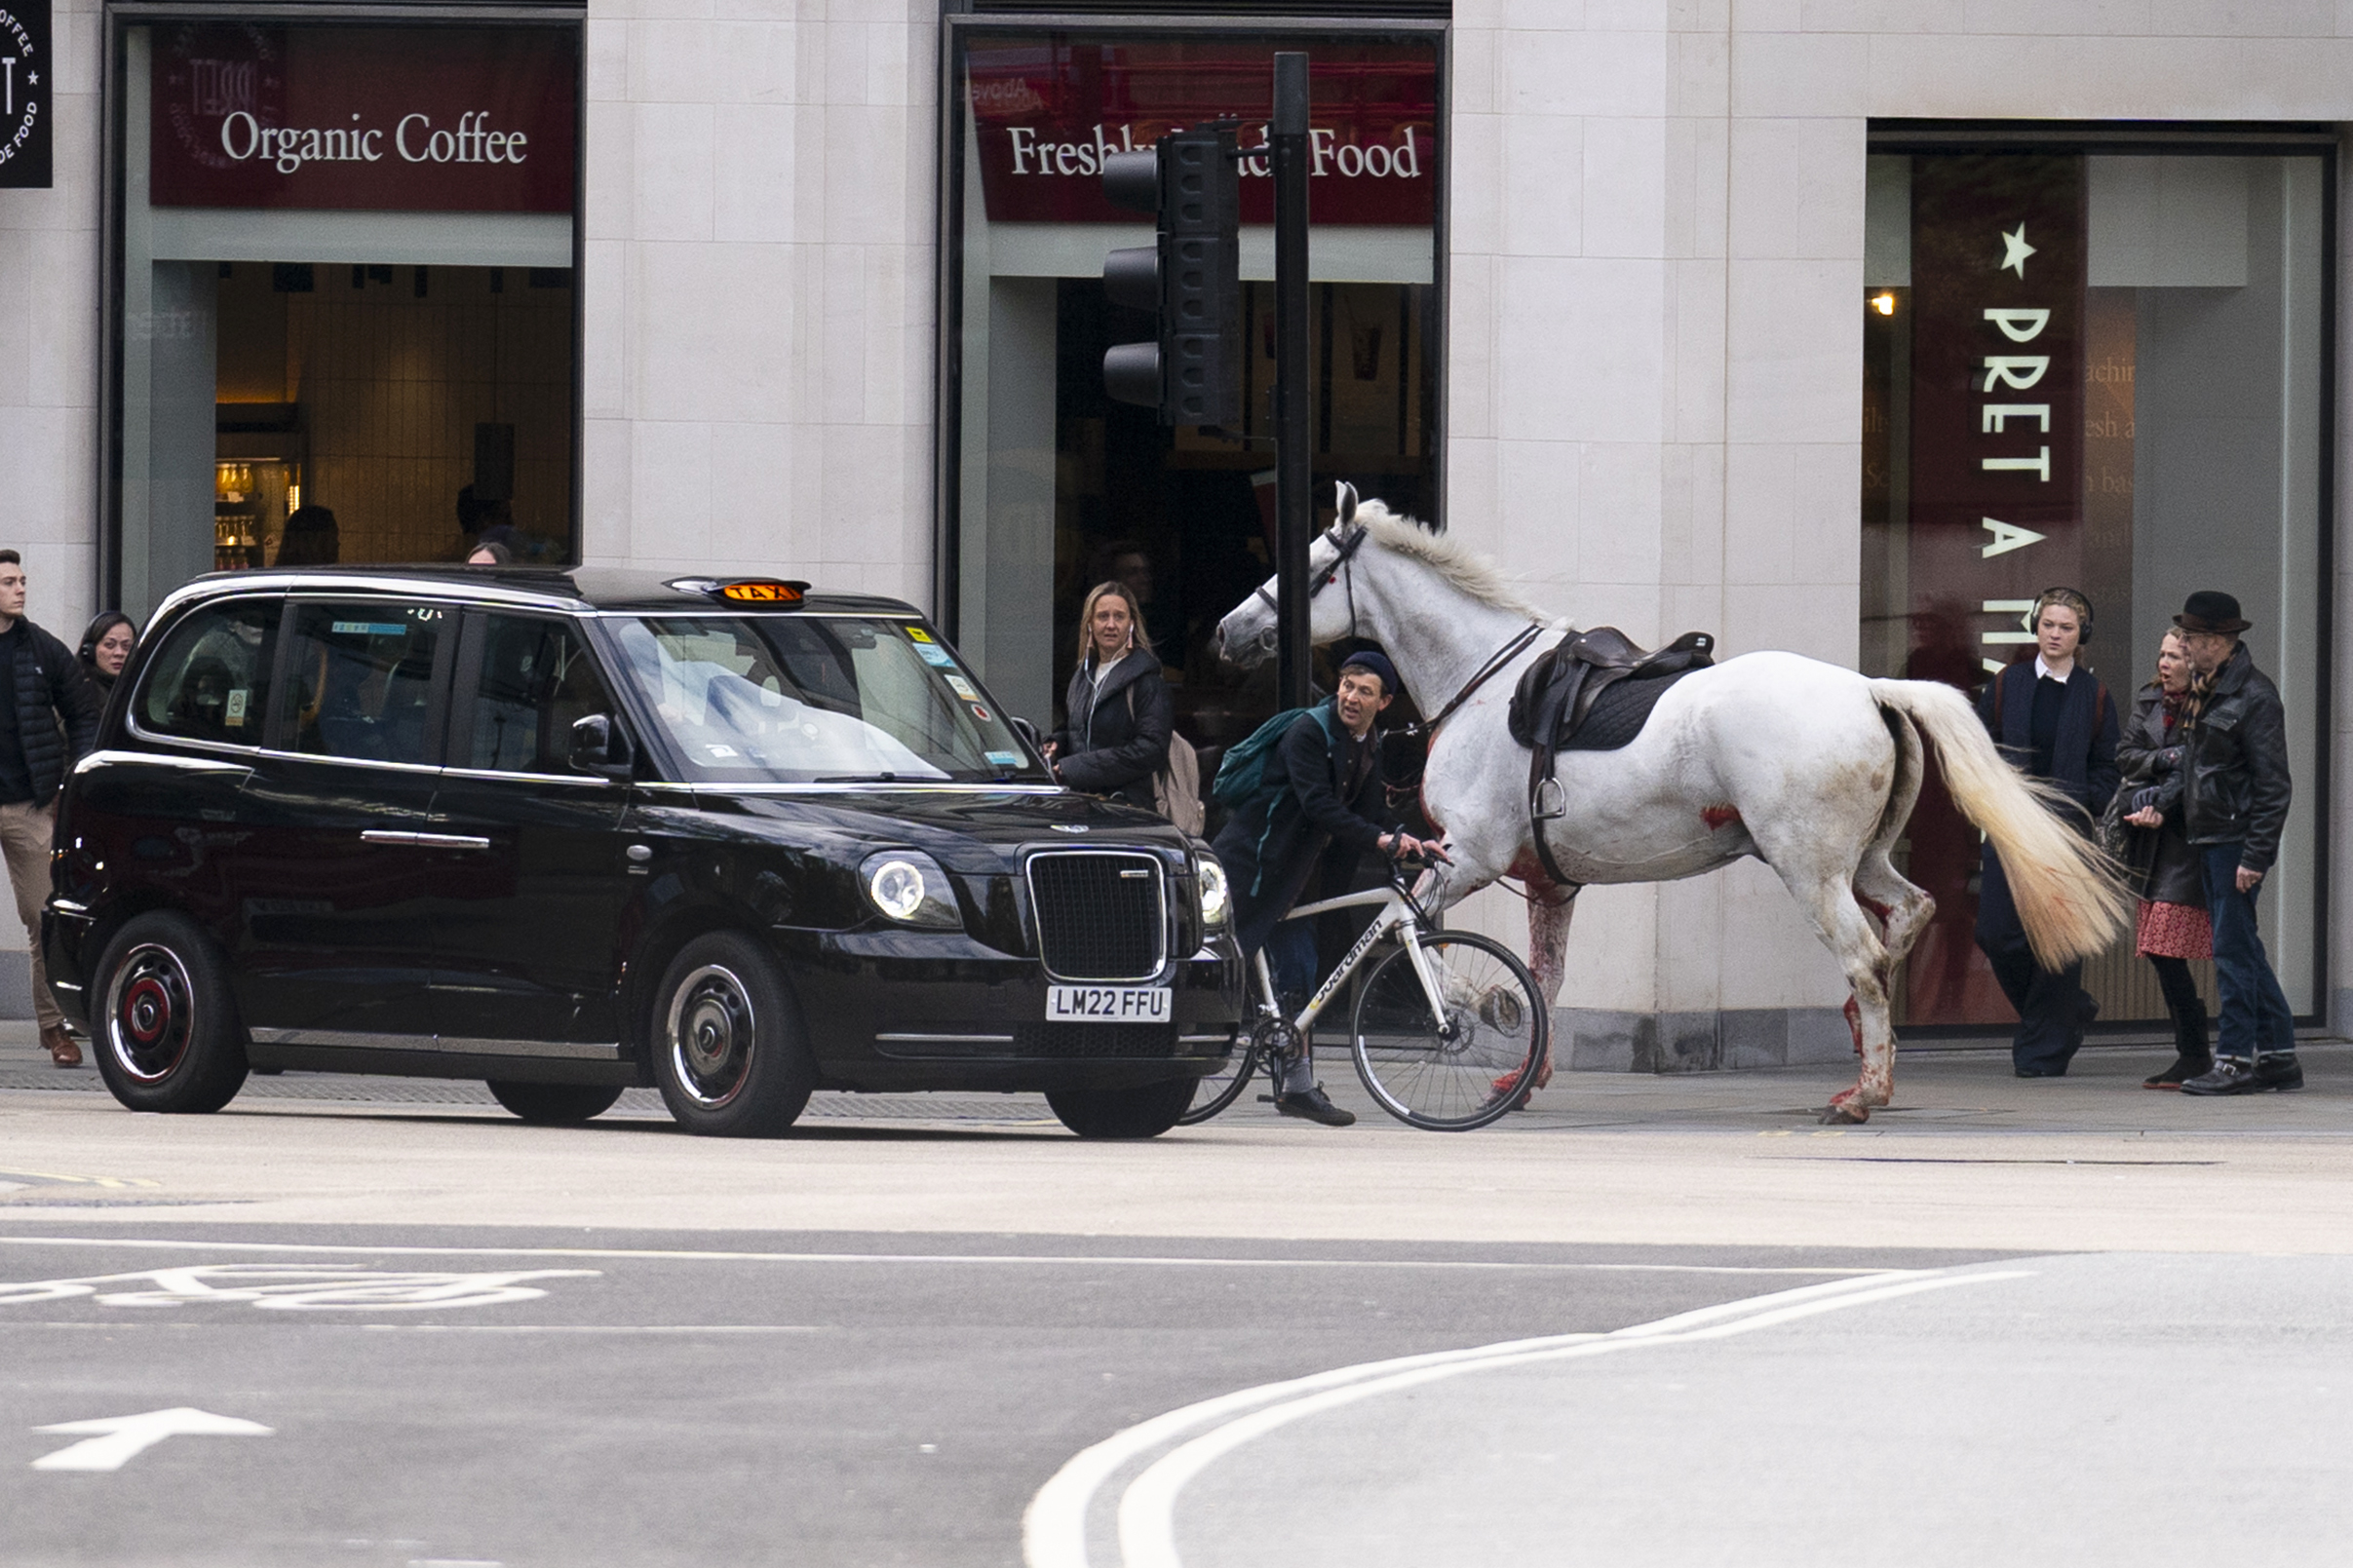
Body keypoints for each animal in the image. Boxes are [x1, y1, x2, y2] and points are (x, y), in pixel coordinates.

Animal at [1214, 486, 2136, 1114]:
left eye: (1308, 568)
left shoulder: (1463, 857)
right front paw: (1526, 1067)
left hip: (1809, 871)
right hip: (1862, 862)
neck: (1483, 679)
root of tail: (1871, 688)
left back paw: (1864, 1090)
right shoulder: (1547, 882)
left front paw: (1483, 1008)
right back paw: (1862, 1040)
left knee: (1866, 956)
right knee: (1909, 914)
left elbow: (1418, 945)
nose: (1228, 630)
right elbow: (1545, 973)